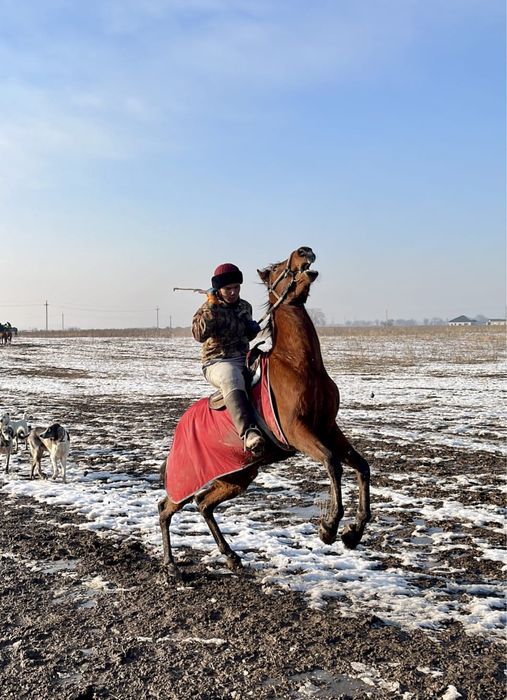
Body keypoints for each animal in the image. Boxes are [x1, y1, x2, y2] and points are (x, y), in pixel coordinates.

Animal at [158, 246, 371, 577]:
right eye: (276, 268)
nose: (304, 251)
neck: (300, 364)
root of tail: (180, 428)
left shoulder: (327, 427)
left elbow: (361, 467)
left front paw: (354, 532)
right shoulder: (298, 432)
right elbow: (333, 463)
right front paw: (329, 527)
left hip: (237, 477)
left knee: (203, 504)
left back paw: (231, 557)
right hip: (192, 479)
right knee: (166, 509)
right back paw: (170, 566)